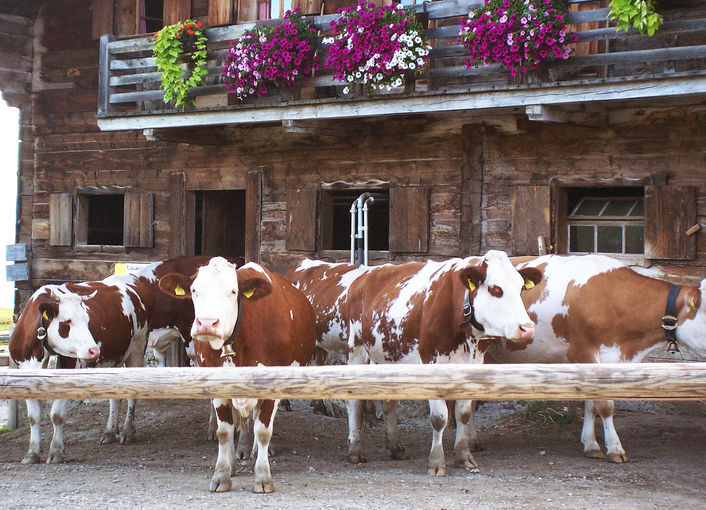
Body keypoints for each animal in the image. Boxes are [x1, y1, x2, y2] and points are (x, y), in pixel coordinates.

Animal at [9, 256, 211, 464]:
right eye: (67, 321)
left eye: (87, 319)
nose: (94, 349)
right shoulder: (26, 369)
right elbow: (33, 416)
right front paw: (32, 453)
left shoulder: (68, 365)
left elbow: (57, 414)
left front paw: (56, 451)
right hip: (115, 356)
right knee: (115, 395)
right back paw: (110, 431)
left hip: (138, 348)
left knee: (132, 392)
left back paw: (128, 431)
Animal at [158, 257, 316, 493]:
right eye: (194, 290)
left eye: (233, 291)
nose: (207, 323)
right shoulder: (217, 384)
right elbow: (224, 431)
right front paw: (222, 474)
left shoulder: (273, 386)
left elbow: (263, 430)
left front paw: (262, 476)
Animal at [344, 250, 542, 476]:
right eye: (495, 289)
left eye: (521, 287)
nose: (527, 328)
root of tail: (365, 275)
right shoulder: (432, 363)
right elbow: (439, 418)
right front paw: (436, 462)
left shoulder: (473, 364)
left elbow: (463, 413)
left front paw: (464, 456)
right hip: (356, 348)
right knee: (354, 401)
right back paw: (354, 450)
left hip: (387, 356)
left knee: (389, 402)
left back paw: (395, 447)